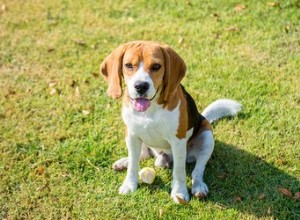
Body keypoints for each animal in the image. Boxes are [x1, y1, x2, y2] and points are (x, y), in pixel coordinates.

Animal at [101, 40, 241, 203]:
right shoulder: (132, 135)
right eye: (128, 65)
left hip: (207, 136)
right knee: (142, 155)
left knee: (198, 169)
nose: (141, 86)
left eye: (156, 66)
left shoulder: (178, 141)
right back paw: (124, 162)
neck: (150, 109)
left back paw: (198, 186)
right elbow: (133, 165)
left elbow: (179, 171)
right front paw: (129, 184)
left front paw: (179, 192)